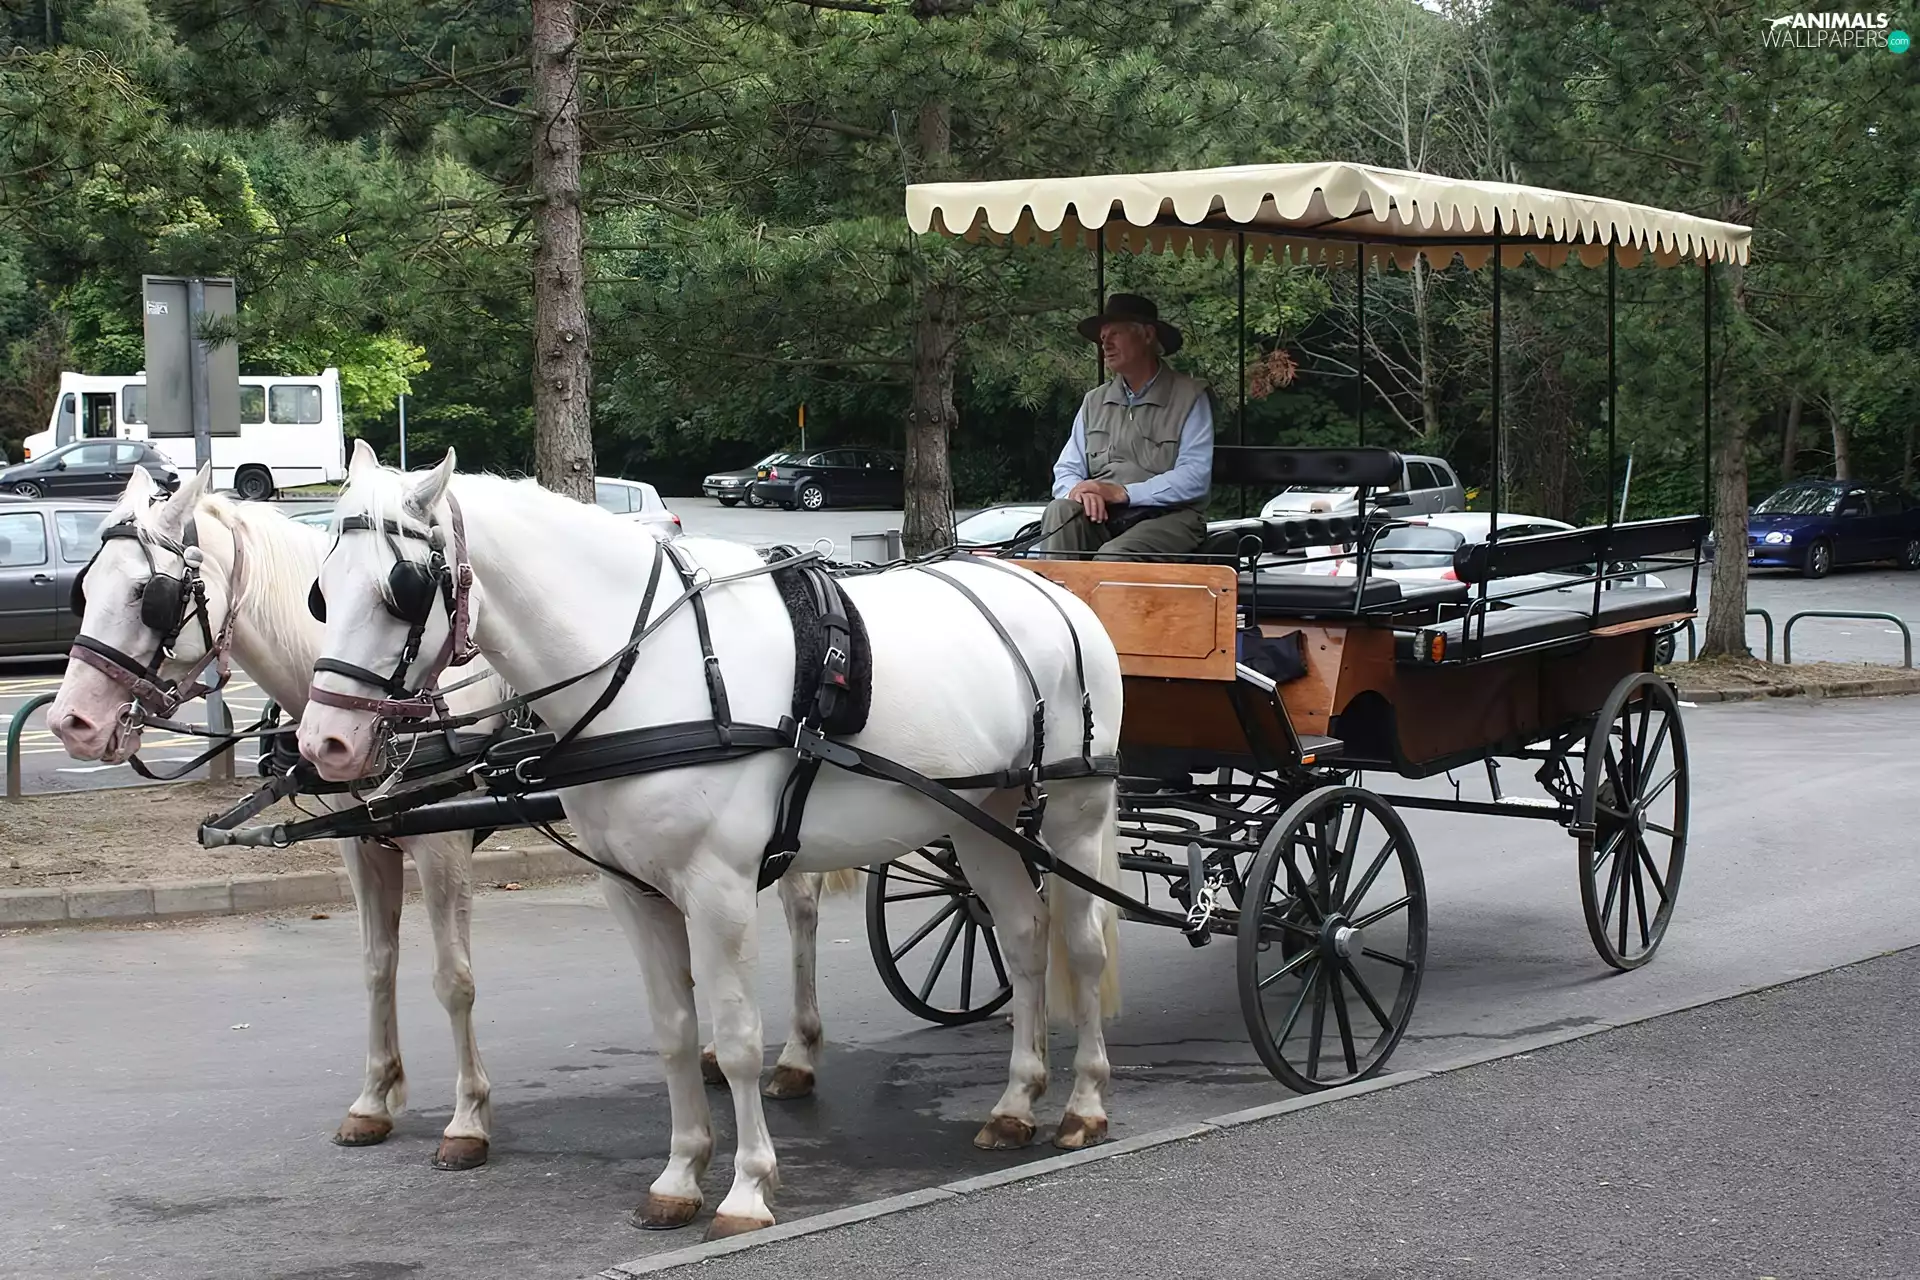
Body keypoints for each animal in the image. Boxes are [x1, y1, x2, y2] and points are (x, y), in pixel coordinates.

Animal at [45, 462, 849, 1172]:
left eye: (150, 595)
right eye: (87, 587)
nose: (70, 723)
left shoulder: (443, 849)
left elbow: (453, 979)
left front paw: (467, 1121)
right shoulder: (364, 846)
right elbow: (377, 967)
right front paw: (374, 1099)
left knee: (803, 906)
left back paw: (799, 1054)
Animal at [296, 441, 1125, 1238]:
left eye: (401, 590)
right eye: (322, 592)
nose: (323, 743)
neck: (648, 670)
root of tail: (1058, 596)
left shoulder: (719, 890)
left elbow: (734, 1039)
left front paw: (748, 1189)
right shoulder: (633, 890)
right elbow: (672, 1031)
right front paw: (680, 1177)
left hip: (1073, 813)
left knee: (1081, 948)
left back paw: (1084, 1104)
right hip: (980, 816)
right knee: (1023, 936)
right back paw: (1015, 1103)